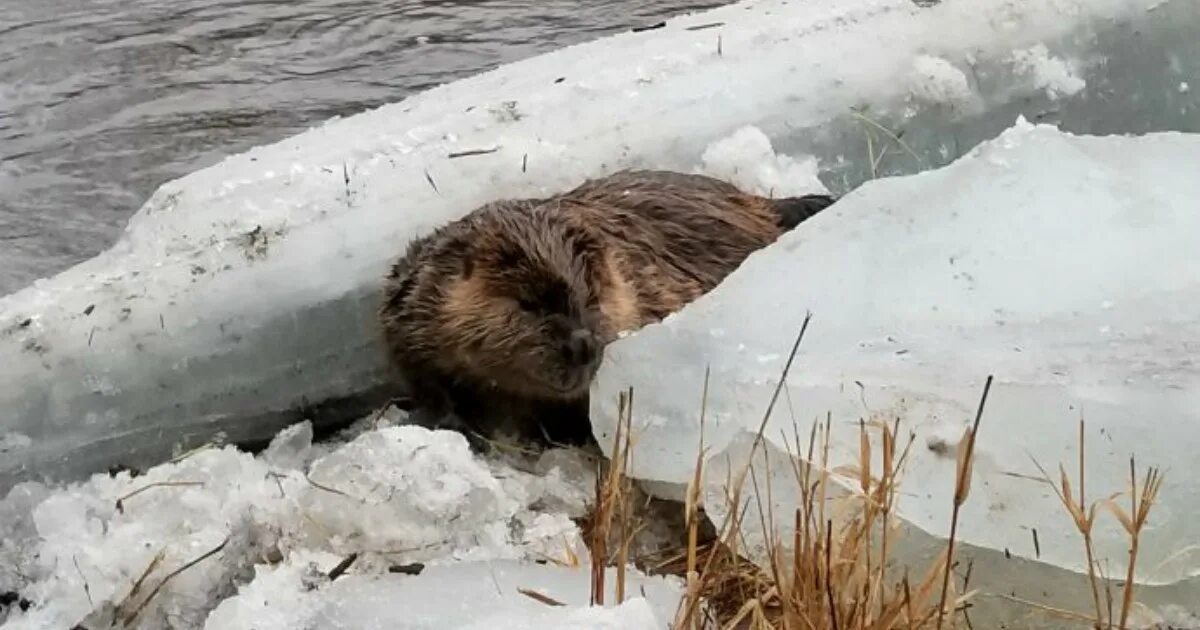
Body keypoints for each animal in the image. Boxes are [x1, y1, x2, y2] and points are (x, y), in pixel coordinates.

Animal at [379, 169, 830, 444]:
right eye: (527, 303)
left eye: (591, 296)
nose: (581, 345)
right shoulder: (410, 305)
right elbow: (423, 374)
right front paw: (454, 423)